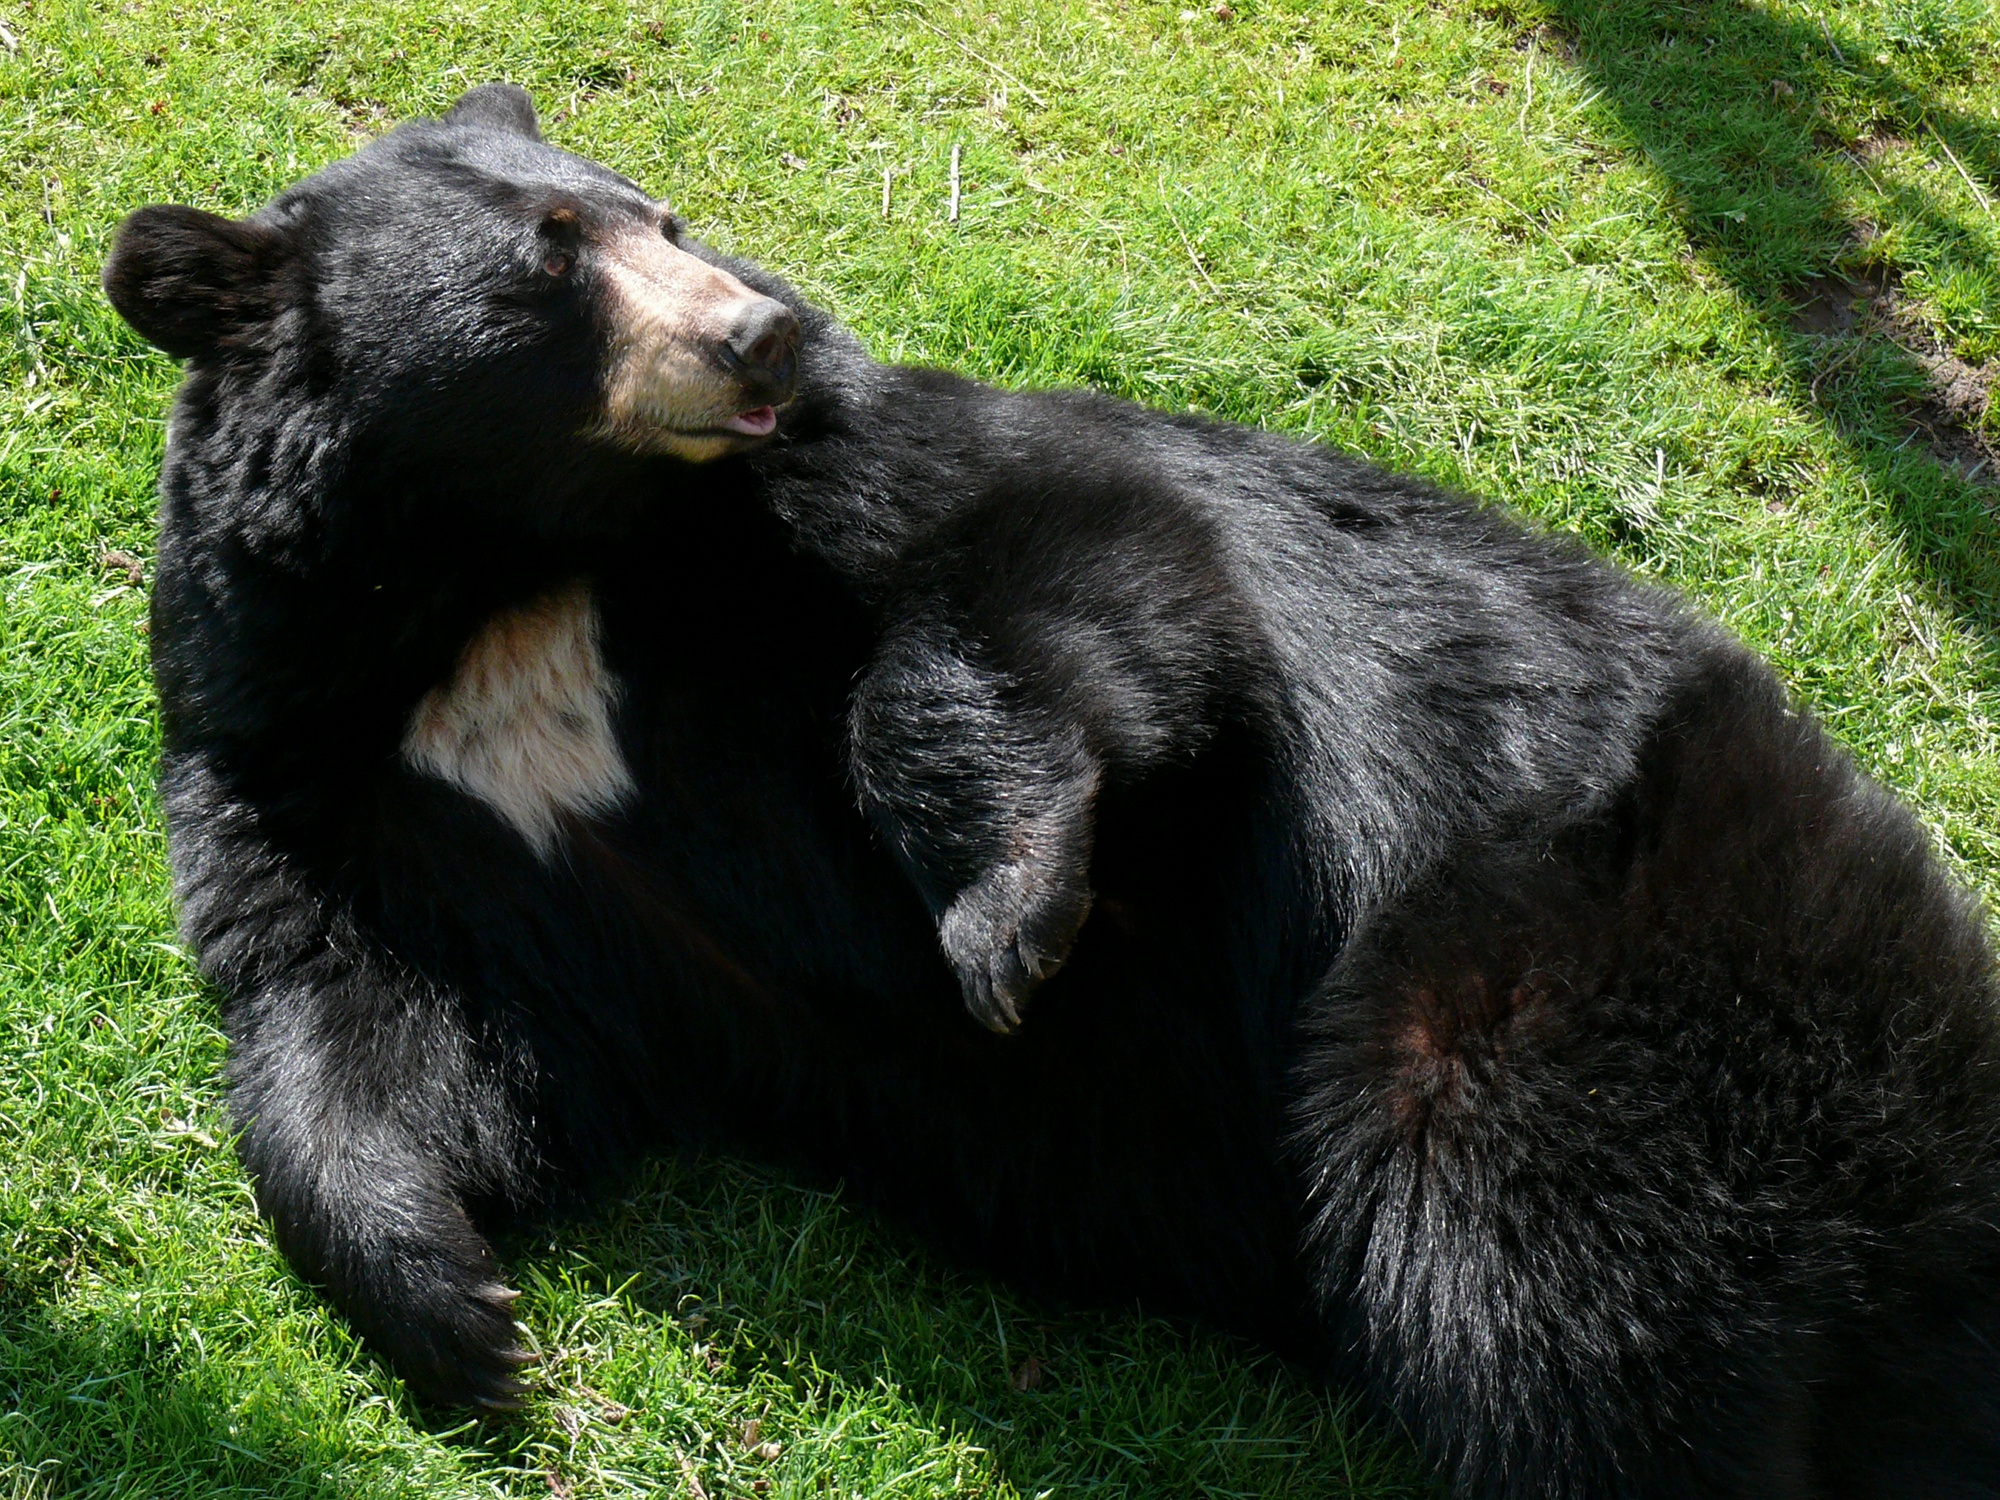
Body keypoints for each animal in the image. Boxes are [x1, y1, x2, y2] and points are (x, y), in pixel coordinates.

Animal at [101, 88, 2000, 1496]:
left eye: (663, 217)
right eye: (550, 262)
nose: (762, 329)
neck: (506, 577)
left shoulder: (857, 489)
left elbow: (1072, 572)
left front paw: (1011, 927)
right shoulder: (315, 760)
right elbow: (371, 1007)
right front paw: (464, 1312)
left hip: (1591, 982)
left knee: (1572, 1290)